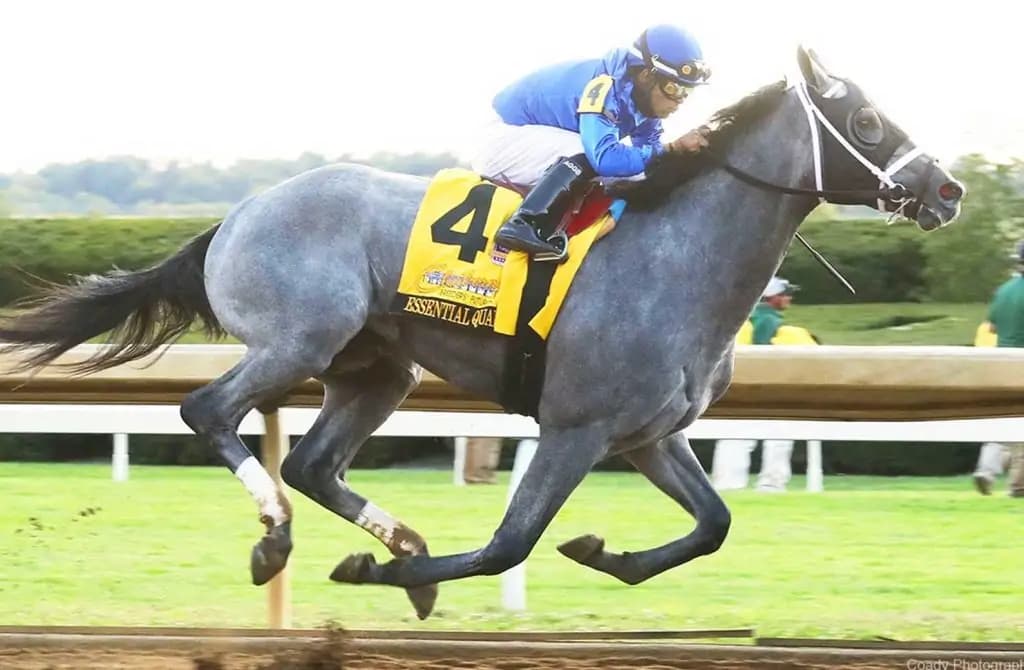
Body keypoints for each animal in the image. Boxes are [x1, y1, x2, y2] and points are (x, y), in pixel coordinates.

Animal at [0, 48, 963, 620]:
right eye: (867, 122)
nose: (948, 190)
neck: (675, 256)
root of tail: (235, 215)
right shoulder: (575, 427)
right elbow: (510, 543)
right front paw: (382, 577)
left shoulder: (648, 435)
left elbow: (715, 524)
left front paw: (603, 552)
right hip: (295, 342)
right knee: (210, 413)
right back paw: (279, 535)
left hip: (377, 370)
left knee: (312, 462)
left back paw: (394, 538)